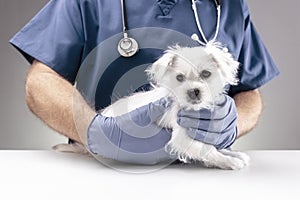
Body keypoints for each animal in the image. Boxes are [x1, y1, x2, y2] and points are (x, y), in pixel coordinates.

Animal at [54, 43, 248, 170]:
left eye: (206, 74)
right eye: (179, 78)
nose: (194, 91)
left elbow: (213, 146)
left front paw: (233, 154)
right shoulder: (182, 138)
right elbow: (207, 150)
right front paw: (229, 161)